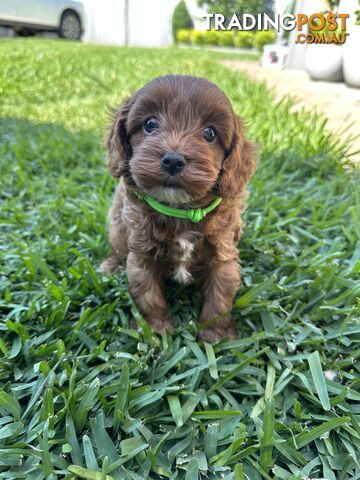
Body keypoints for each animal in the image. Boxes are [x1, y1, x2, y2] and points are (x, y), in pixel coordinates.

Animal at [101, 75, 256, 344]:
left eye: (210, 133)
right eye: (150, 124)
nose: (173, 160)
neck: (180, 210)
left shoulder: (223, 254)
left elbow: (220, 298)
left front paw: (216, 336)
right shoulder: (141, 255)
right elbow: (147, 295)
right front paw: (155, 332)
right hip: (119, 225)